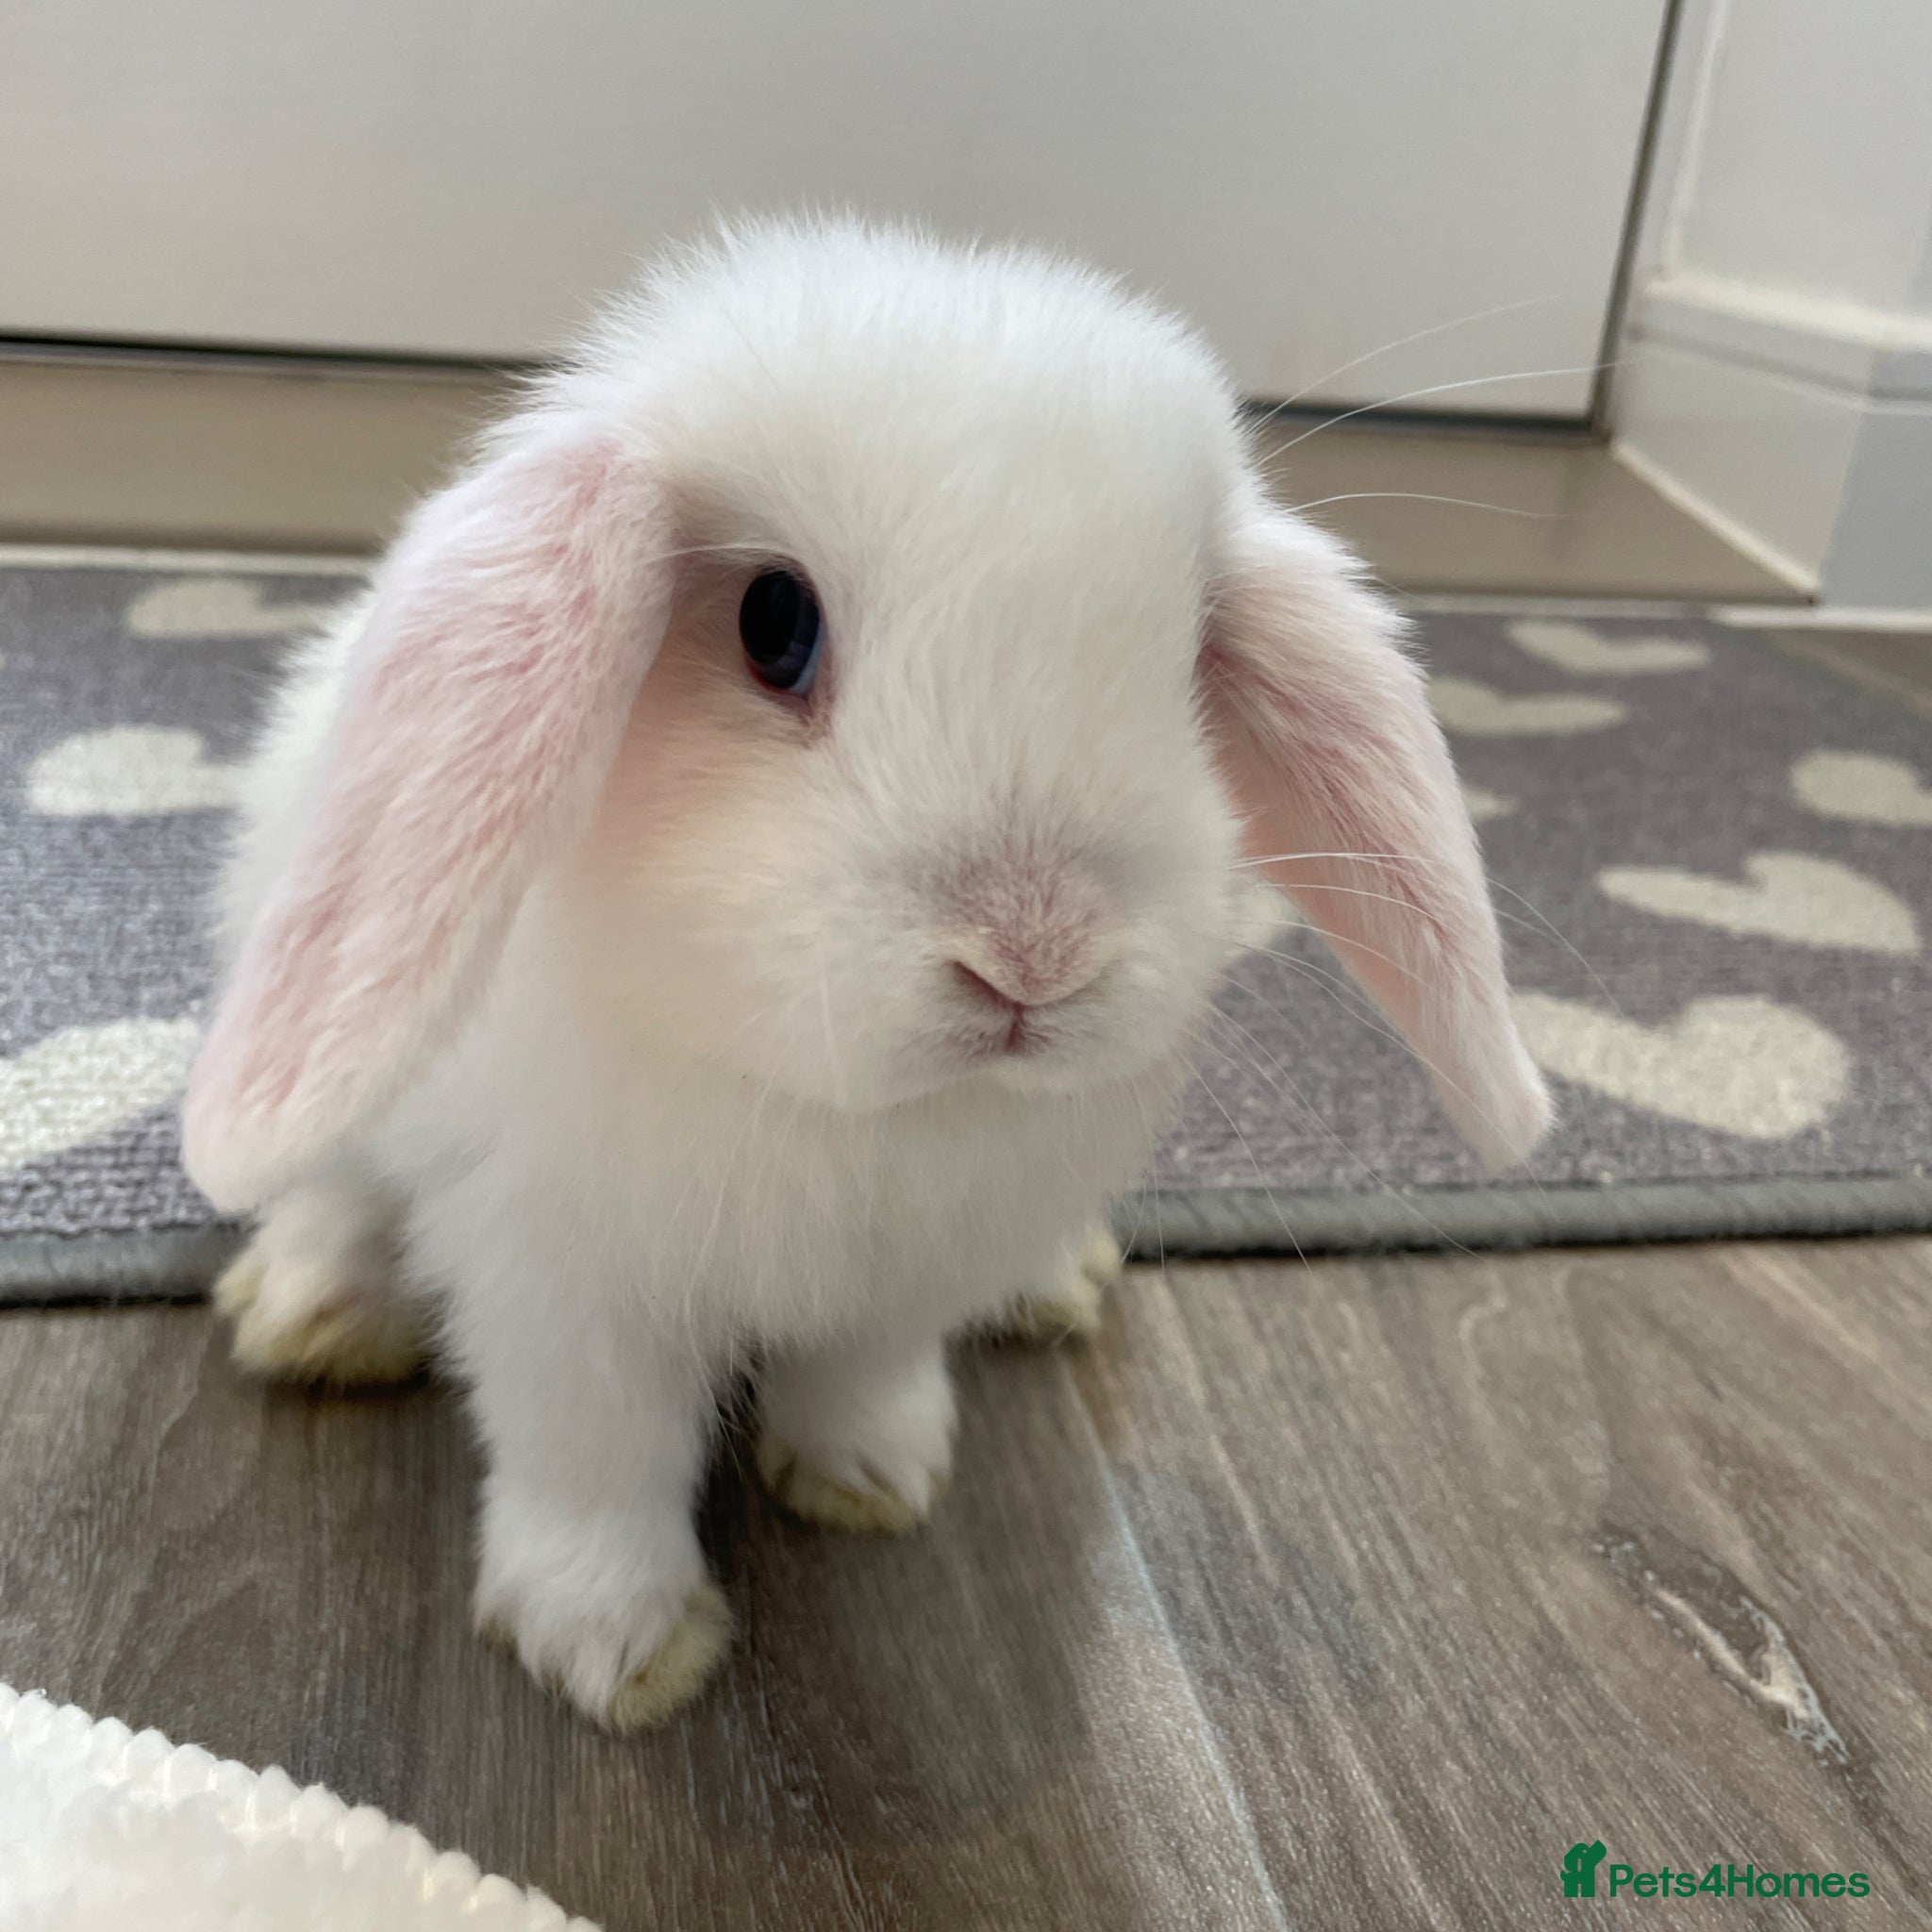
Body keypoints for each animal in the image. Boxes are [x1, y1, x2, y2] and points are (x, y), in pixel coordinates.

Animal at [183, 217, 1550, 1730]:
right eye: (774, 624)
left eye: (1193, 659)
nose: (1032, 952)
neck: (857, 1115)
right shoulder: (560, 1283)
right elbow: (592, 1456)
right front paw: (615, 1647)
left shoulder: (906, 1282)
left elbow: (860, 1377)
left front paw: (871, 1482)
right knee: (332, 1182)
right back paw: (314, 1312)